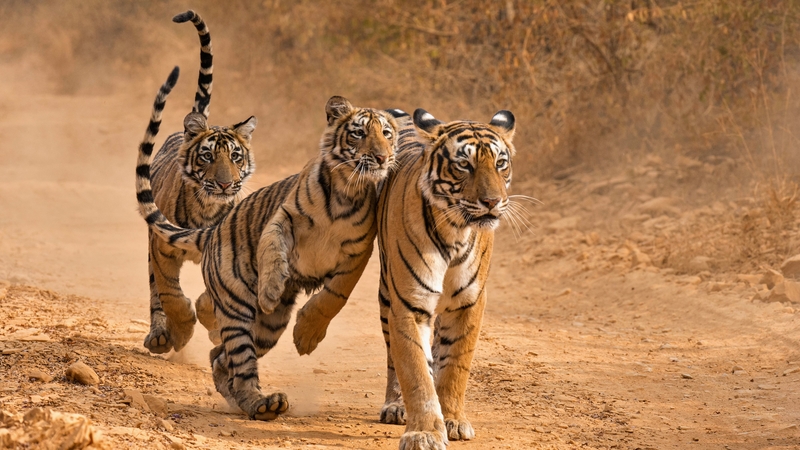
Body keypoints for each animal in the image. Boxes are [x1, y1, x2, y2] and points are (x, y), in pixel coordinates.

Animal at [136, 67, 399, 420]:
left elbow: (335, 296)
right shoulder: (283, 216)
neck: (346, 190)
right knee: (236, 357)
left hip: (268, 328)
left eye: (387, 133)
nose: (382, 157)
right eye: (358, 133)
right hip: (237, 307)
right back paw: (261, 402)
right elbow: (273, 249)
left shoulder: (359, 252)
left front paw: (306, 336)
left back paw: (254, 401)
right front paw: (271, 289)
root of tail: (213, 231)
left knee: (221, 358)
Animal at [142, 10, 257, 354]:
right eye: (208, 156)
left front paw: (212, 325)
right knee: (155, 292)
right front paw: (181, 332)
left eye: (235, 157)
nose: (224, 185)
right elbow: (171, 295)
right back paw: (160, 336)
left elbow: (212, 298)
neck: (207, 208)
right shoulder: (161, 248)